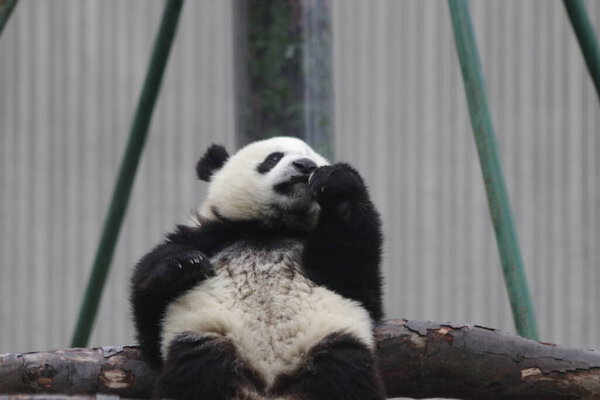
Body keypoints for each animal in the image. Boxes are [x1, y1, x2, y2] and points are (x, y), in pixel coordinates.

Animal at [131, 136, 384, 398]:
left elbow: (354, 278)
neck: (269, 228)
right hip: (208, 338)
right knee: (198, 368)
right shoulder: (211, 236)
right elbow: (151, 328)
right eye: (273, 158)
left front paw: (338, 186)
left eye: (313, 158)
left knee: (343, 369)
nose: (305, 165)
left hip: (327, 341)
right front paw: (183, 264)